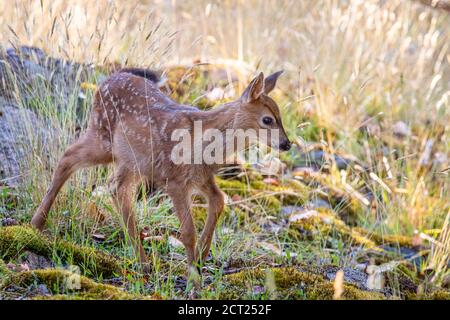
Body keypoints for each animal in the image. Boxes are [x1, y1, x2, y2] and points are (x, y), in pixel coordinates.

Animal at [31, 67, 292, 284]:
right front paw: (194, 278)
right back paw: (36, 223)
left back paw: (143, 262)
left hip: (131, 160)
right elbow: (188, 231)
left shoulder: (201, 177)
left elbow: (219, 201)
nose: (287, 144)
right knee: (68, 157)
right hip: (103, 137)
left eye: (281, 116)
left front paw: (201, 256)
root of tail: (105, 81)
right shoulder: (174, 179)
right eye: (267, 119)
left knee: (115, 187)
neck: (205, 143)